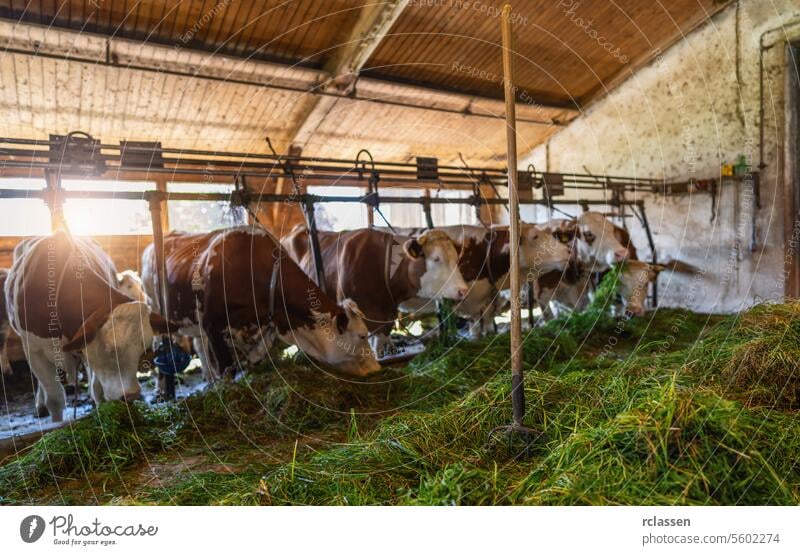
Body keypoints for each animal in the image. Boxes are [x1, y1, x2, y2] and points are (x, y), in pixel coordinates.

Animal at [5, 231, 170, 422]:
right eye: (109, 348)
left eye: (143, 349)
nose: (132, 395)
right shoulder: (34, 350)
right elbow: (55, 399)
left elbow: (97, 389)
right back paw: (40, 406)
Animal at [142, 226, 380, 378]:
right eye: (362, 336)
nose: (377, 368)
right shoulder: (212, 325)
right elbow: (227, 370)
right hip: (156, 311)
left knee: (199, 347)